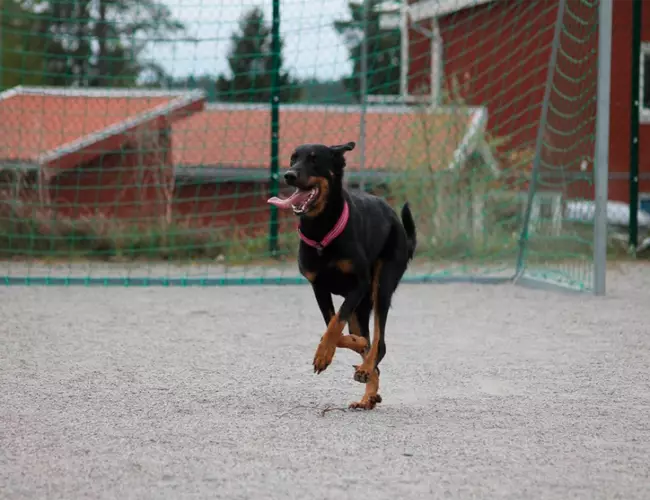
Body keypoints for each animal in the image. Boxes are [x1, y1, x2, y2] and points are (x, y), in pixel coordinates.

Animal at [268, 141, 416, 410]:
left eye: (314, 159)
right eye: (293, 158)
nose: (289, 175)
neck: (321, 229)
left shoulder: (359, 285)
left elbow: (336, 323)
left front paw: (323, 354)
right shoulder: (319, 286)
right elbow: (333, 325)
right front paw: (350, 344)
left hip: (381, 287)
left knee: (380, 342)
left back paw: (366, 369)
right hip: (361, 309)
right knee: (369, 342)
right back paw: (368, 393)